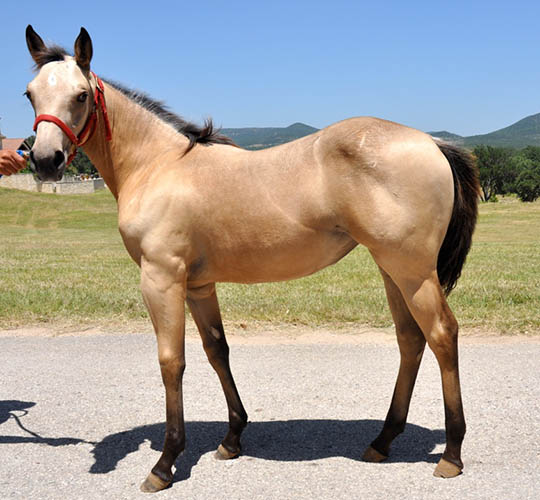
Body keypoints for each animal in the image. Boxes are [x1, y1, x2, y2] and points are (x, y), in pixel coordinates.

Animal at [23, 25, 478, 490]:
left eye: (81, 95)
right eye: (30, 94)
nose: (44, 161)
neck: (159, 166)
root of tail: (433, 141)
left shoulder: (161, 279)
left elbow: (172, 362)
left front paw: (166, 462)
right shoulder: (199, 285)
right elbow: (216, 350)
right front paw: (232, 438)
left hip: (413, 273)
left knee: (442, 335)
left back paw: (452, 454)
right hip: (392, 270)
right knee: (411, 340)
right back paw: (383, 441)